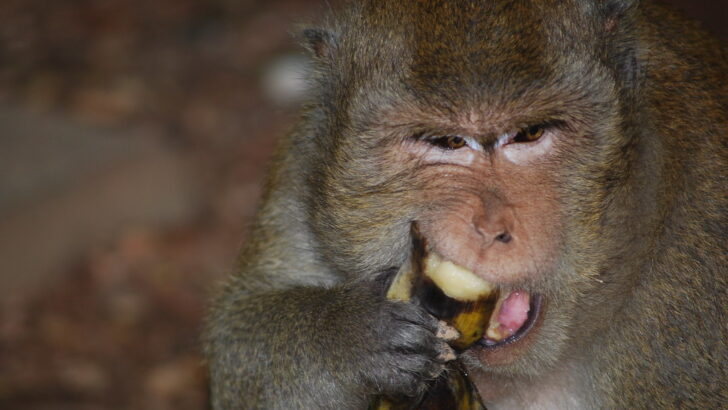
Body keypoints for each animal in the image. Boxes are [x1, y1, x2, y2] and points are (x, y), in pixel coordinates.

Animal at [204, 0, 727, 409]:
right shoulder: (304, 167)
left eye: (530, 133)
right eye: (446, 142)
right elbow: (236, 338)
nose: (490, 229)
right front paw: (350, 335)